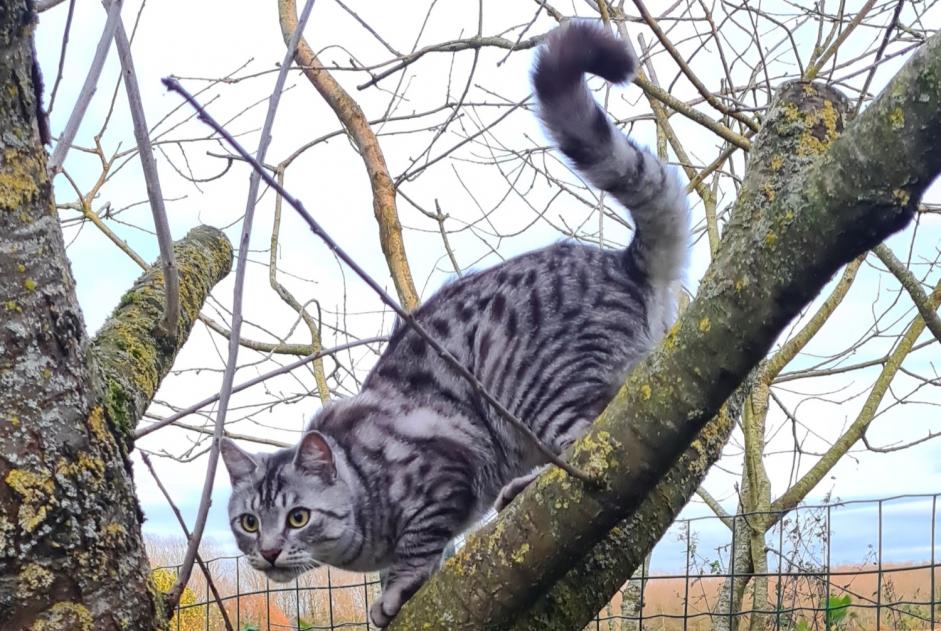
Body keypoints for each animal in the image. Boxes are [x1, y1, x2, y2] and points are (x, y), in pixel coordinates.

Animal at [221, 19, 692, 628]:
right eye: (249, 522)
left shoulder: (444, 463)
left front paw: (397, 588)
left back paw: (525, 485)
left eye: (298, 516)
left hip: (541, 395)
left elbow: (420, 543)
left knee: (589, 447)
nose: (271, 552)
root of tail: (621, 262)